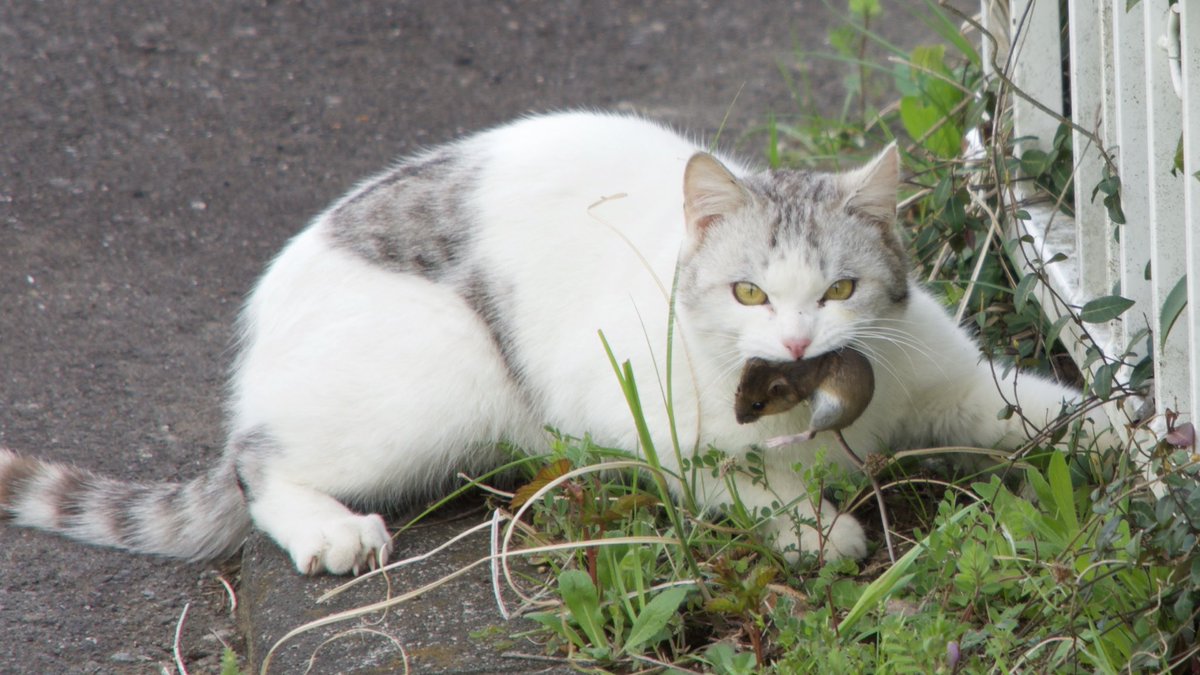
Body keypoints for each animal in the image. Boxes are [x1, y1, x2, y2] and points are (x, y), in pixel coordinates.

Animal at [0, 111, 1080, 571]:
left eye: (843, 289)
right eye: (749, 291)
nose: (800, 337)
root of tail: (264, 316)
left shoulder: (963, 386)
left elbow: (1061, 411)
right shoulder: (635, 418)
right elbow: (732, 481)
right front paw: (814, 527)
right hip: (442, 380)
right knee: (255, 464)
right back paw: (328, 530)